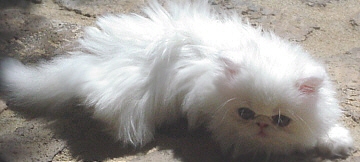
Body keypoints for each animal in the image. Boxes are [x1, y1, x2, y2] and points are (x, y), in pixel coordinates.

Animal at [0, 0, 354, 159]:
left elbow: (322, 131)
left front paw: (337, 141)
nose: (262, 124)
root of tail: (89, 61)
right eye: (245, 114)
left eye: (281, 120)